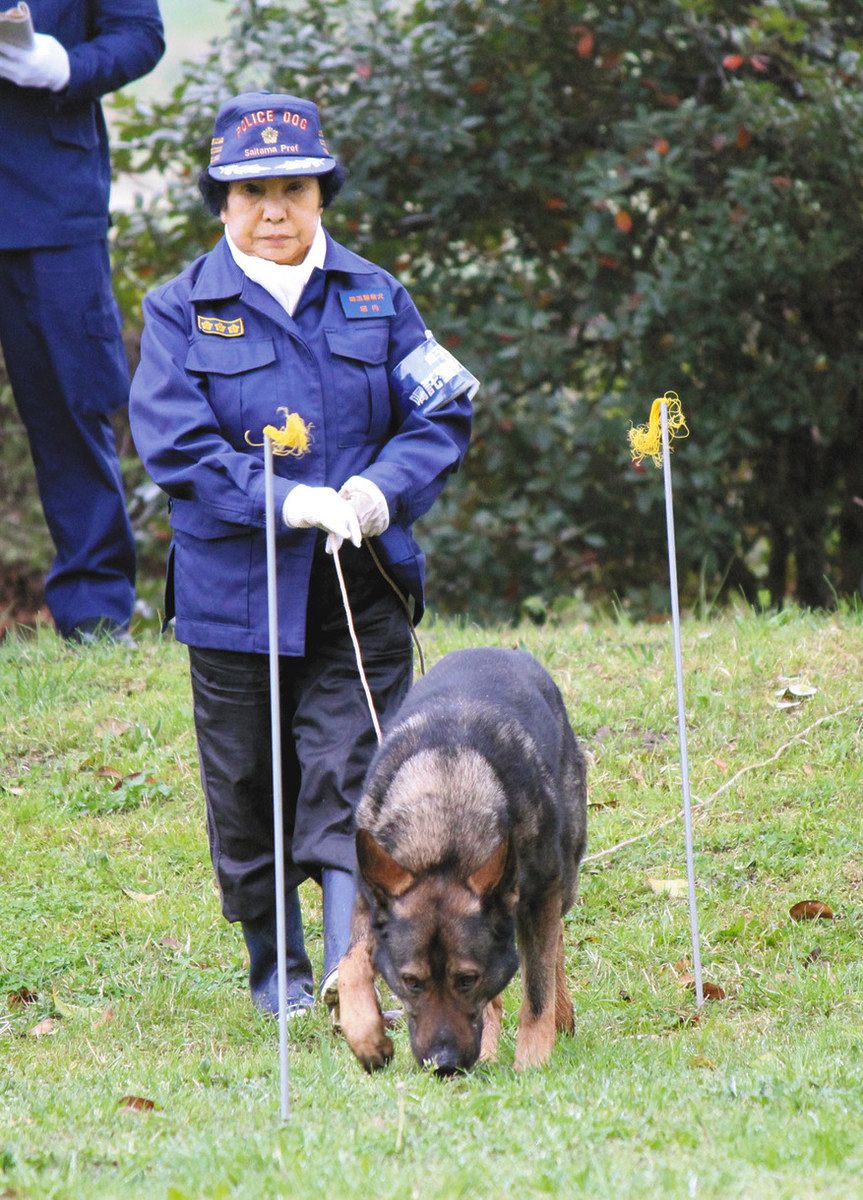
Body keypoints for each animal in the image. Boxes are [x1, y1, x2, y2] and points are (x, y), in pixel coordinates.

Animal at [338, 652, 588, 1075]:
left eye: (467, 980)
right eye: (411, 982)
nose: (444, 1065)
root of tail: (504, 651)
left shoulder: (541, 894)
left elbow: (537, 992)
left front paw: (532, 1066)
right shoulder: (368, 901)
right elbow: (350, 966)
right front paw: (368, 1040)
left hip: (564, 880)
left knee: (552, 947)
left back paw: (559, 1014)